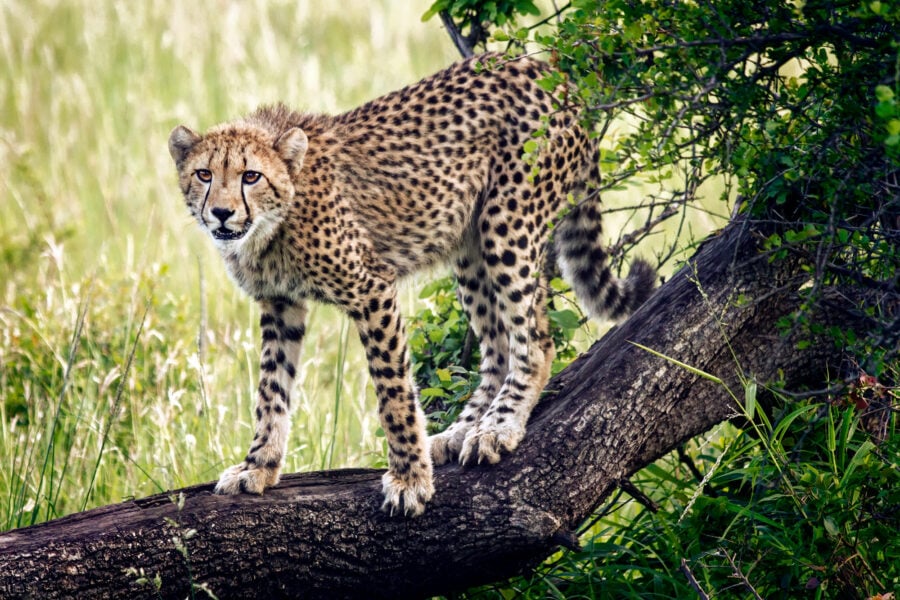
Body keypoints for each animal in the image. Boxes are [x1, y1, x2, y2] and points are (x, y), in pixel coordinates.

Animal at [167, 52, 655, 517]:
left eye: (251, 176)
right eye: (204, 175)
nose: (222, 213)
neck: (275, 220)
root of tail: (548, 71)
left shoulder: (371, 289)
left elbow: (393, 392)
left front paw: (409, 481)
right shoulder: (280, 304)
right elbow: (272, 391)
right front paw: (258, 467)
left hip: (507, 225)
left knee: (534, 340)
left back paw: (498, 426)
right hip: (468, 246)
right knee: (497, 345)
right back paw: (463, 429)